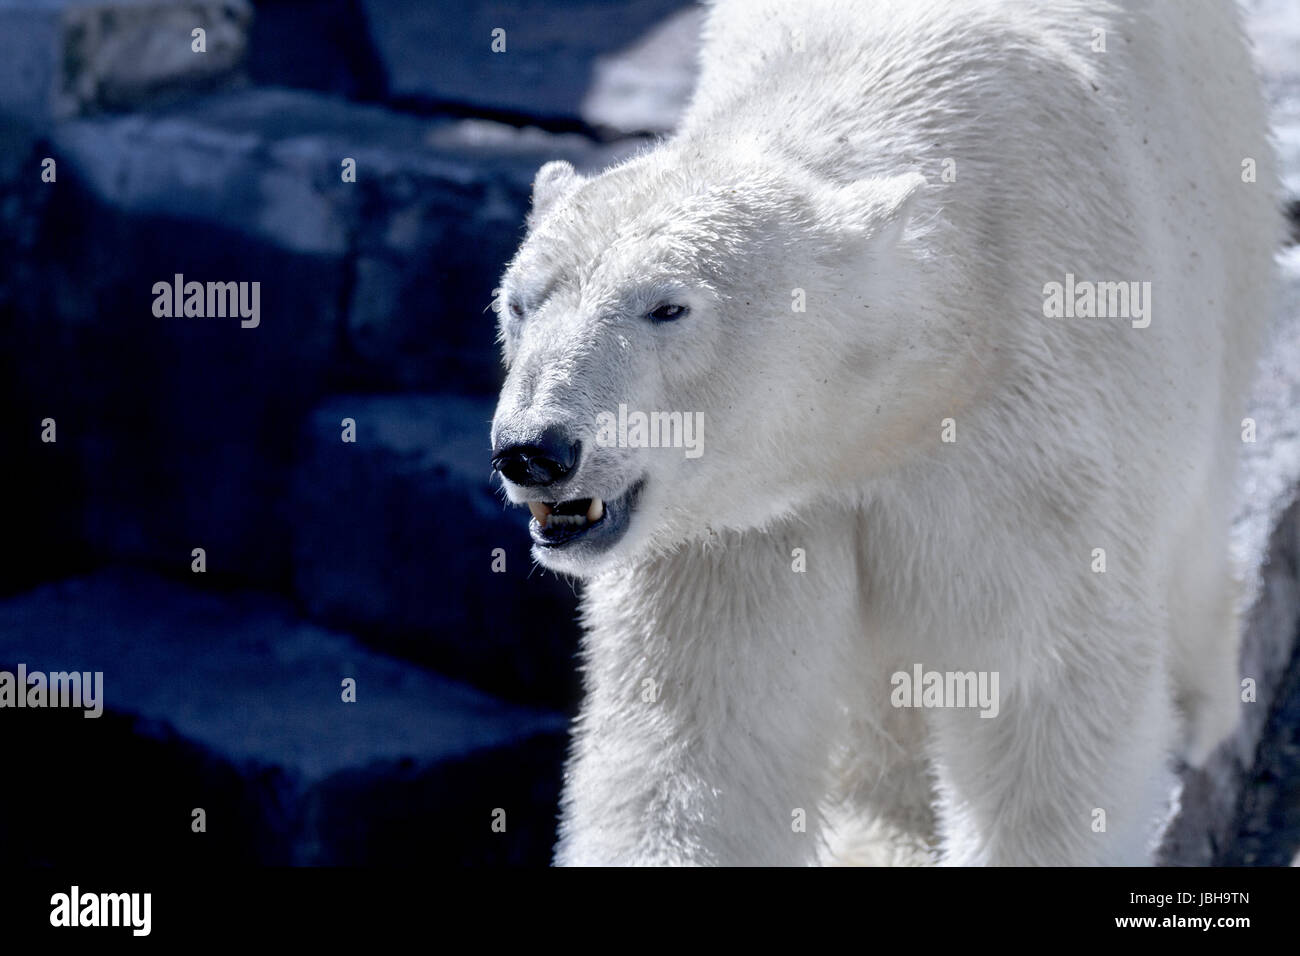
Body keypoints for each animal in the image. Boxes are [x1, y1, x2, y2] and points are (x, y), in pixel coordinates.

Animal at [488, 0, 1279, 868]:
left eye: (668, 307)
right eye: (519, 302)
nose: (535, 451)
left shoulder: (1029, 449)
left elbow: (1037, 704)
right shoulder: (734, 525)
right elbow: (700, 739)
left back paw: (1199, 705)